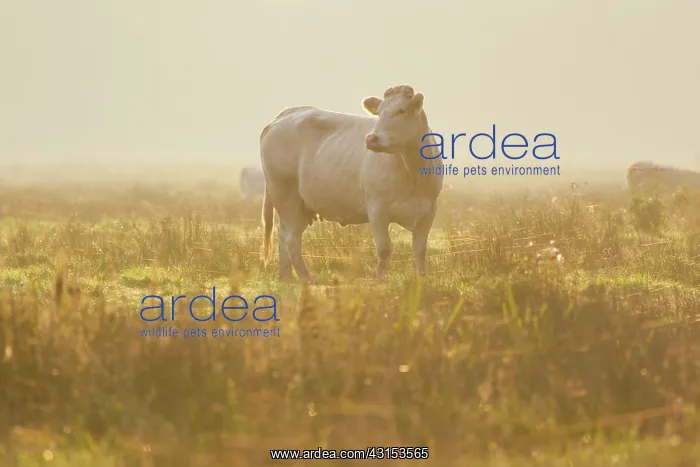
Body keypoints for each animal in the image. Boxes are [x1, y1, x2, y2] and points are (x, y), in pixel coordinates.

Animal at [259, 85, 443, 283]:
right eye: (379, 112)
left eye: (401, 110)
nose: (371, 139)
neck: (413, 173)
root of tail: (287, 113)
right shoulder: (377, 208)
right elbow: (384, 248)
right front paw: (381, 281)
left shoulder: (429, 210)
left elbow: (420, 249)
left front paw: (421, 280)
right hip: (285, 195)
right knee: (291, 238)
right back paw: (306, 278)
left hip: (300, 205)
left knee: (284, 233)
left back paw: (286, 277)